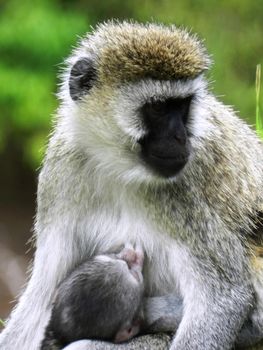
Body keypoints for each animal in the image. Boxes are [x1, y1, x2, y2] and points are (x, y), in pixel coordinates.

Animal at [0, 21, 263, 350]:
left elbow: (223, 297)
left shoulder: (182, 196)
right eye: (158, 108)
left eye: (183, 106)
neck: (119, 167)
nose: (181, 138)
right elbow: (41, 297)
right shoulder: (61, 169)